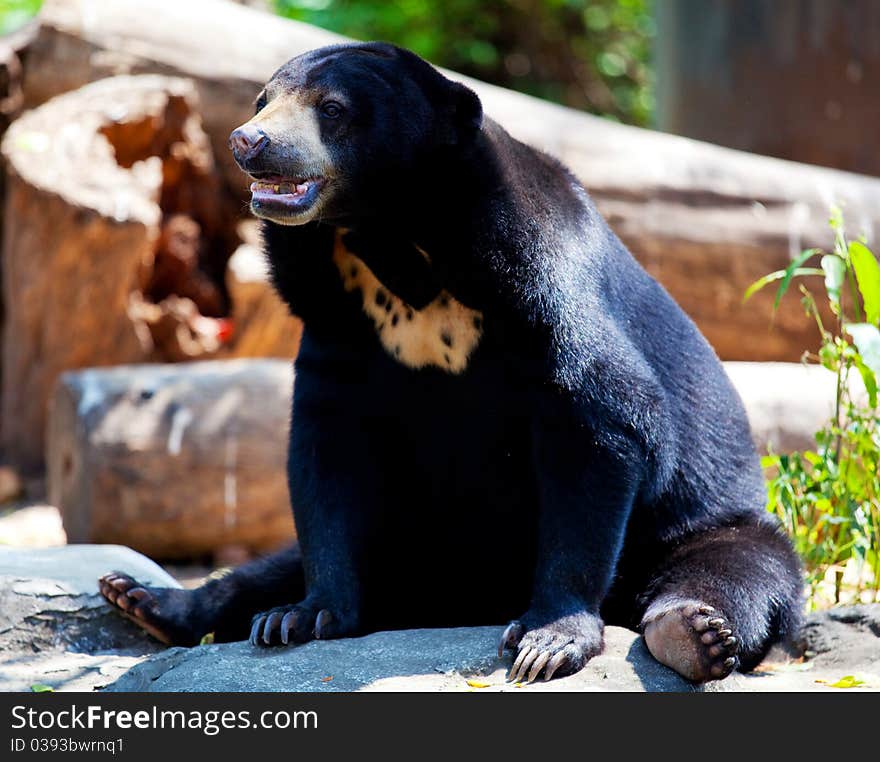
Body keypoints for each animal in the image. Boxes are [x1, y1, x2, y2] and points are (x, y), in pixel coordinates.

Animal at [101, 43, 804, 684]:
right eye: (261, 101)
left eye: (333, 109)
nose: (249, 141)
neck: (390, 237)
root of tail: (456, 595)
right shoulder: (335, 318)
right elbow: (326, 449)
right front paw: (304, 617)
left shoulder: (536, 275)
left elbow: (602, 414)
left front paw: (547, 643)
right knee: (275, 564)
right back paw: (147, 599)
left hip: (707, 522)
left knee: (733, 569)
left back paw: (690, 632)